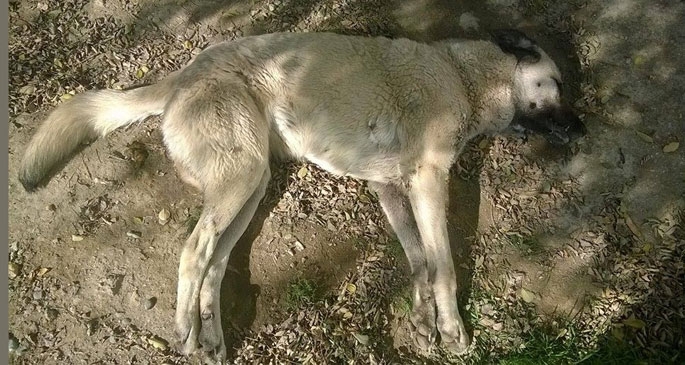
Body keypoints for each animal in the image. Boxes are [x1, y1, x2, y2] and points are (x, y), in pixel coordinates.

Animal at [17, 29, 584, 360]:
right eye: (556, 83)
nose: (582, 128)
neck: (465, 78)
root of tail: (183, 75)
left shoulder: (389, 187)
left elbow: (420, 261)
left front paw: (423, 322)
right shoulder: (428, 180)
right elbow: (441, 264)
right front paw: (451, 329)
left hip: (251, 186)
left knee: (214, 264)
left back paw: (212, 337)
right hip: (242, 178)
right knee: (192, 253)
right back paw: (185, 330)